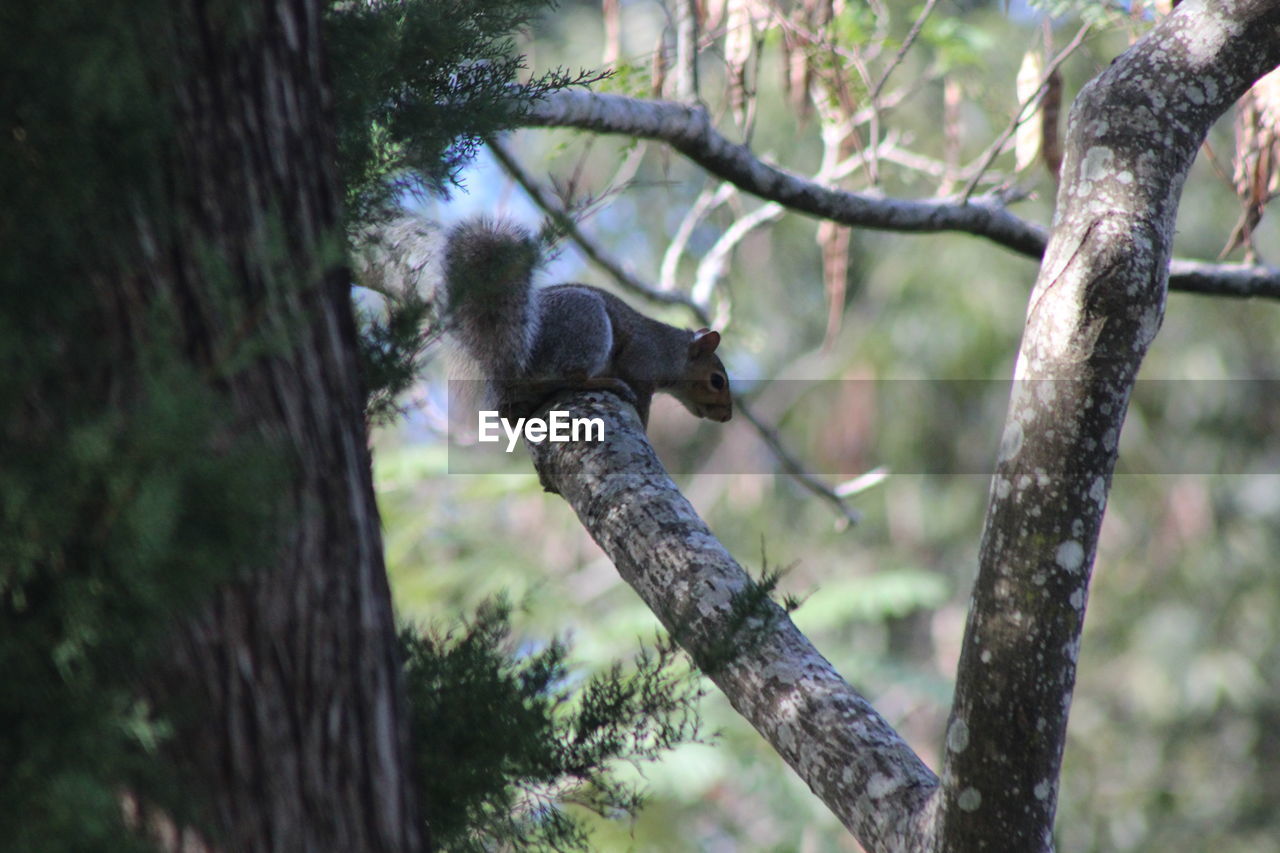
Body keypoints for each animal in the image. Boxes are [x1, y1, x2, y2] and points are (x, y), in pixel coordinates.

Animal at [445, 213, 737, 422]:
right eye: (717, 381)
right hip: (586, 327)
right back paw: (606, 382)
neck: (671, 350)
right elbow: (641, 400)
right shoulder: (642, 360)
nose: (726, 417)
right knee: (574, 377)